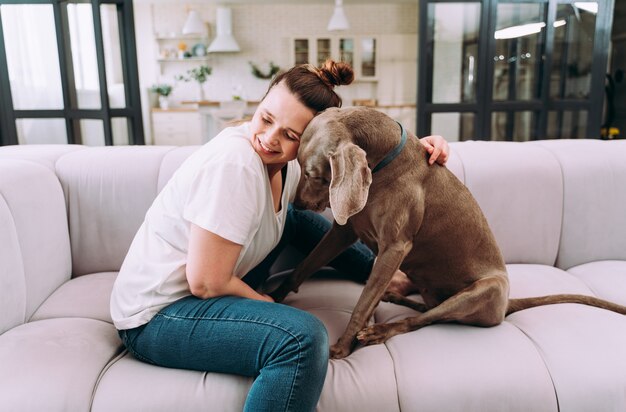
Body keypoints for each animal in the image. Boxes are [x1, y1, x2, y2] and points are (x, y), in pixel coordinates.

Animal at [268, 107, 624, 360]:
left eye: (315, 175)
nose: (296, 204)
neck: (384, 163)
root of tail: (506, 305)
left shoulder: (395, 247)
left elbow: (362, 302)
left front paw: (343, 346)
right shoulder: (345, 231)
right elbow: (304, 266)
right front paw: (275, 294)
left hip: (485, 290)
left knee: (424, 320)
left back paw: (379, 330)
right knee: (426, 310)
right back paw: (394, 298)